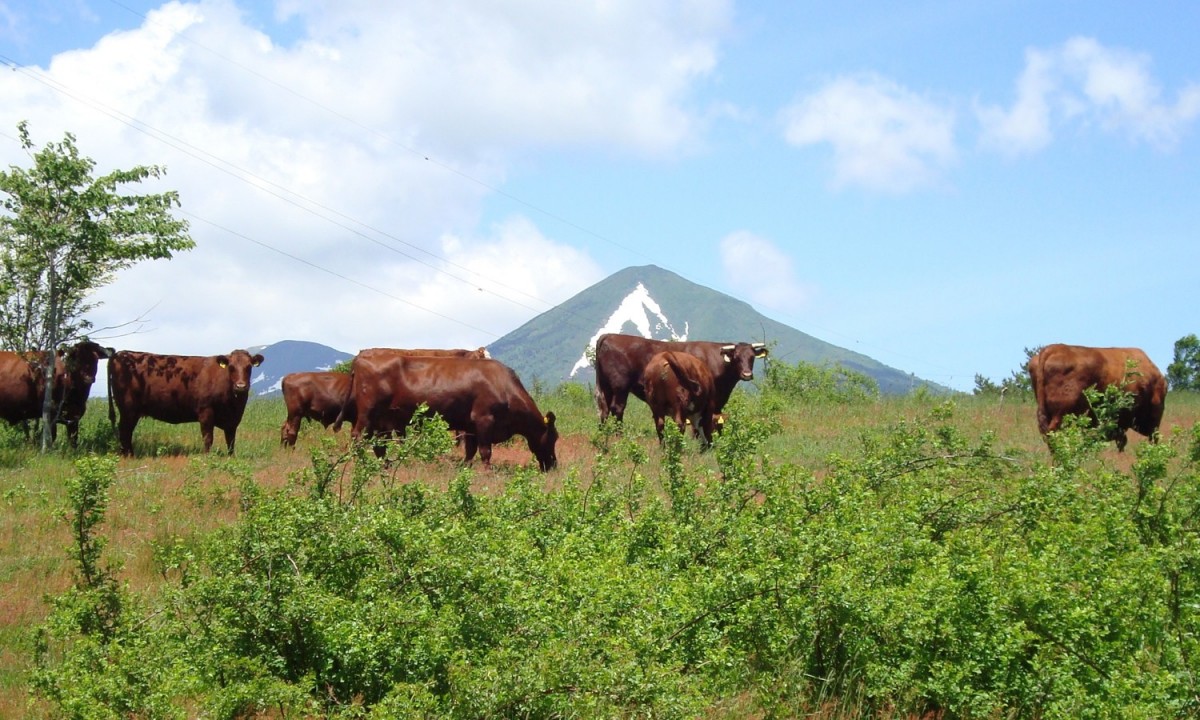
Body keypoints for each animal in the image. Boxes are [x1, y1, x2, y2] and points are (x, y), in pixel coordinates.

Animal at [108, 348, 265, 456]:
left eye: (249, 367)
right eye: (231, 367)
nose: (240, 386)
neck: (233, 404)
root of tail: (120, 354)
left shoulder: (233, 420)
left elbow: (231, 440)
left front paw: (231, 457)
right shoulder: (205, 411)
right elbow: (208, 438)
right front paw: (207, 457)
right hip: (128, 409)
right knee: (125, 431)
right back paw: (129, 455)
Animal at [345, 355, 554, 472]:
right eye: (554, 438)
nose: (553, 464)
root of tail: (361, 360)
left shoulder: (471, 426)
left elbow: (470, 450)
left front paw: (464, 469)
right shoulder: (484, 419)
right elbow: (485, 451)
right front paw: (488, 472)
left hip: (383, 420)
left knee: (378, 444)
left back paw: (386, 465)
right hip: (368, 414)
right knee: (358, 437)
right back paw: (361, 464)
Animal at [592, 333, 768, 424]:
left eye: (752, 357)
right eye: (736, 357)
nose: (747, 374)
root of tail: (609, 335)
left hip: (606, 386)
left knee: (604, 409)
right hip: (620, 386)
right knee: (617, 408)